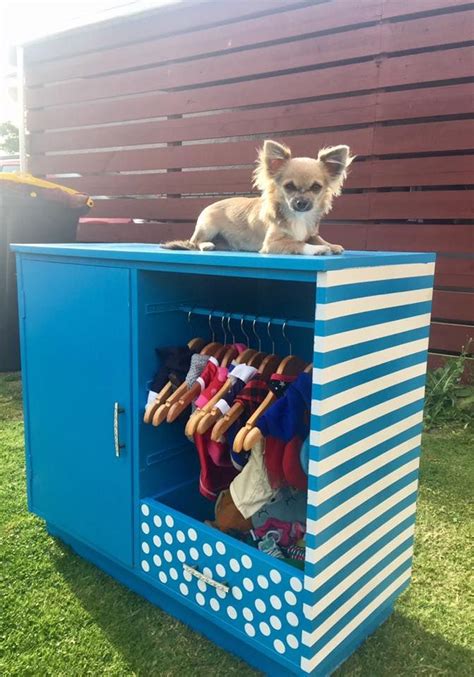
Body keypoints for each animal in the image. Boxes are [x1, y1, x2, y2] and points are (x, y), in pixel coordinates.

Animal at [162, 139, 352, 255]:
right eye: (289, 187)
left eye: (316, 187)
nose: (301, 203)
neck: (298, 216)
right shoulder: (272, 243)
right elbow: (298, 243)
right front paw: (317, 249)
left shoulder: (310, 232)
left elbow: (315, 237)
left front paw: (331, 245)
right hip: (207, 227)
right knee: (195, 243)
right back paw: (207, 245)